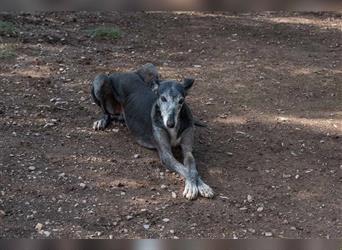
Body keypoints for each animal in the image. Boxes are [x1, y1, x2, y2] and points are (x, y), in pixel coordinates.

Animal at [91, 64, 214, 199]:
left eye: (181, 101)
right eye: (163, 98)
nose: (170, 124)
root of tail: (124, 72)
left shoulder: (187, 150)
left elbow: (192, 169)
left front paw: (202, 186)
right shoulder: (166, 154)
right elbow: (185, 169)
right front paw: (192, 187)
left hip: (151, 68)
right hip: (101, 80)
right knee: (105, 111)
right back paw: (102, 120)